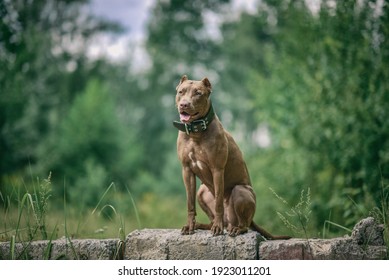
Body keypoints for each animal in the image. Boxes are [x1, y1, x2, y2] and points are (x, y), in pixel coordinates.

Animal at [174, 74, 292, 238]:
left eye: (198, 93)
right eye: (181, 92)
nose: (184, 104)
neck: (195, 132)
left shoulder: (217, 169)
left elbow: (218, 202)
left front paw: (217, 228)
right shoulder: (187, 170)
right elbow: (190, 203)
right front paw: (189, 226)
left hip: (240, 191)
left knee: (244, 224)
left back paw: (233, 228)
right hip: (202, 191)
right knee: (214, 219)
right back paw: (202, 225)